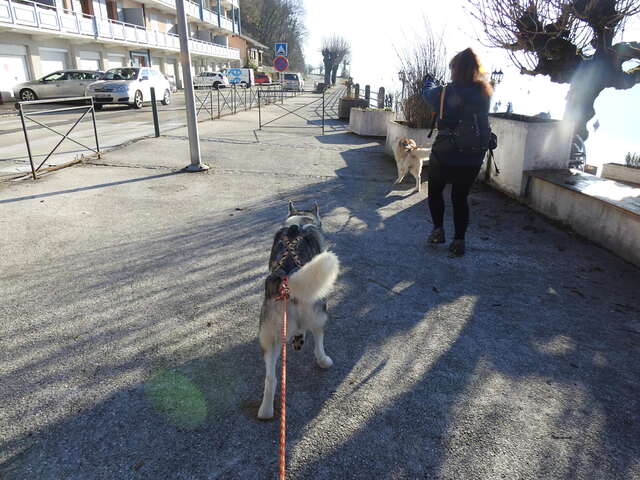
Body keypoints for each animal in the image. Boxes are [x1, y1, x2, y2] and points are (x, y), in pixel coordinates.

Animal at [258, 201, 342, 418]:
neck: (301, 222)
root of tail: (287, 279)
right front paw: (300, 338)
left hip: (270, 335)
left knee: (270, 378)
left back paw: (266, 410)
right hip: (319, 310)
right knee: (318, 339)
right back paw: (323, 360)